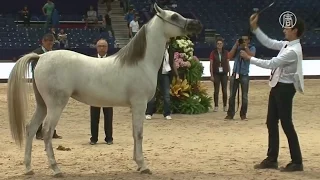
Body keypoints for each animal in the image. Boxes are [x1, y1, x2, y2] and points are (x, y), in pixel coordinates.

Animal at [6, 3, 201, 178]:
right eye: (174, 17)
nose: (196, 24)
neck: (140, 63)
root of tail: (41, 57)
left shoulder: (135, 106)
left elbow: (134, 132)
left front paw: (138, 164)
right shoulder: (140, 104)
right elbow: (139, 133)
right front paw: (144, 166)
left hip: (42, 105)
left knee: (31, 128)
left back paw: (29, 168)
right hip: (55, 105)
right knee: (46, 131)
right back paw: (56, 169)